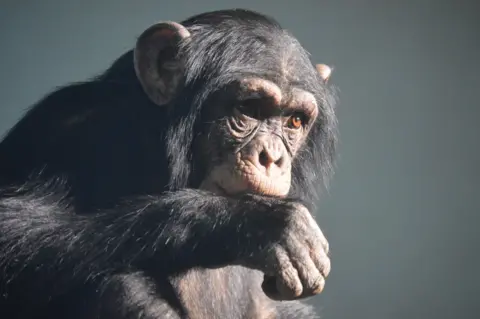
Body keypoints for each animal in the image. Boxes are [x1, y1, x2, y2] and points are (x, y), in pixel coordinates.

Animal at [0, 8, 338, 318]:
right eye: (249, 109)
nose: (273, 157)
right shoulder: (62, 131)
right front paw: (259, 223)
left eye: (294, 121)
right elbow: (15, 229)